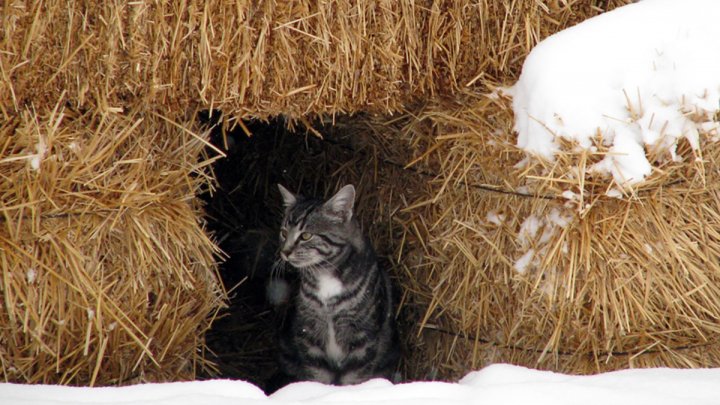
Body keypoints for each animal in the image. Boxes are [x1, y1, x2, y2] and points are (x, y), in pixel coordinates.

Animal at [274, 183, 402, 386]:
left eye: (306, 236)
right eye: (284, 233)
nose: (284, 252)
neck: (324, 275)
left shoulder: (362, 340)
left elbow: (353, 378)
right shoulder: (309, 336)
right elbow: (317, 376)